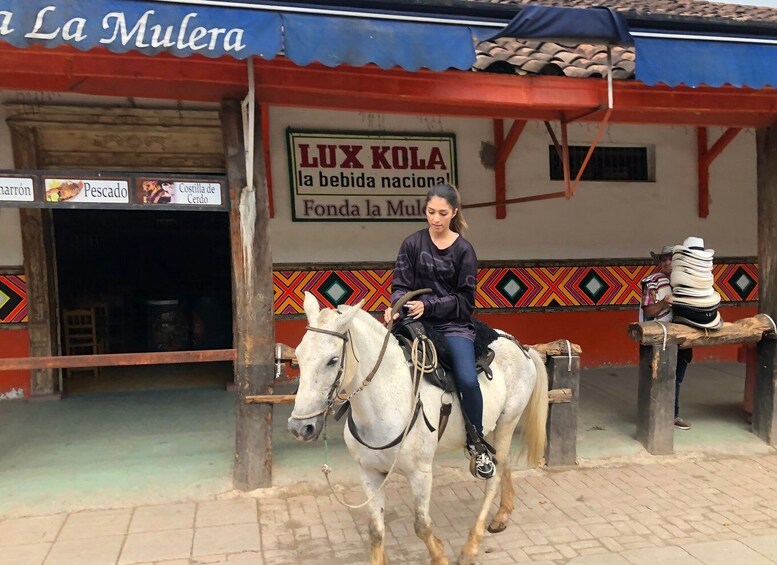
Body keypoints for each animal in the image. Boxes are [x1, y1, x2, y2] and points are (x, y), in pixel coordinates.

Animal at [288, 290, 548, 564]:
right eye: (299, 356)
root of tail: (522, 347)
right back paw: (502, 515)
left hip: (509, 419)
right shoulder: (369, 472)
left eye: (333, 360)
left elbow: (421, 525)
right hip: (497, 426)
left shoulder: (421, 472)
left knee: (494, 475)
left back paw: (471, 546)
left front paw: (441, 556)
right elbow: (375, 530)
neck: (387, 402)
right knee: (505, 461)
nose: (299, 427)